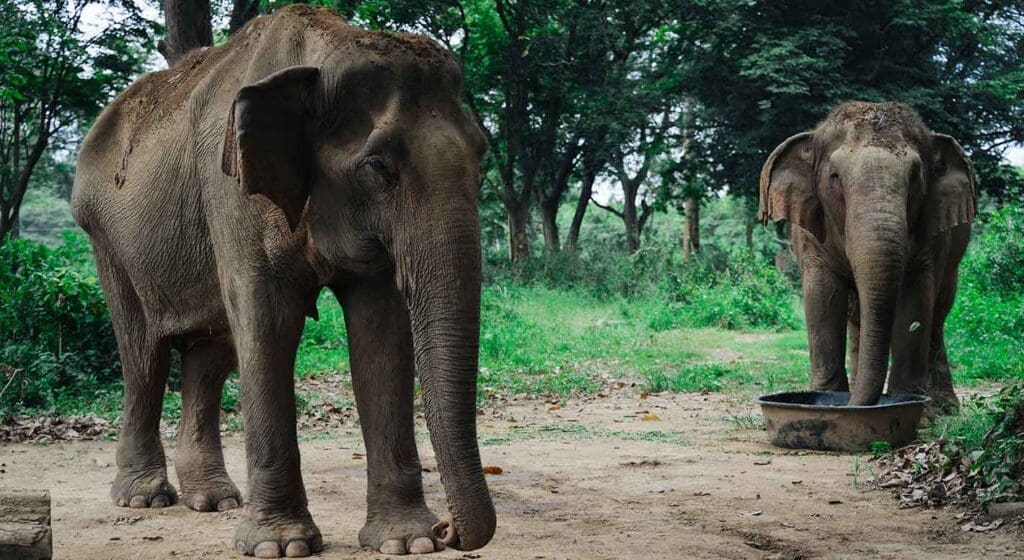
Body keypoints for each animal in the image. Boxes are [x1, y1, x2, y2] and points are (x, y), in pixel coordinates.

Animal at [71, 5, 494, 558]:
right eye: (378, 168)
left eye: (483, 160)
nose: (449, 530)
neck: (327, 47)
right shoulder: (231, 188)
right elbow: (269, 321)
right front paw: (282, 546)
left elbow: (381, 330)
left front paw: (408, 541)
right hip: (108, 242)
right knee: (144, 355)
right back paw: (144, 498)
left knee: (210, 353)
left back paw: (214, 501)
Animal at [759, 101, 975, 411]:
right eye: (835, 177)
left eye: (915, 177)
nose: (850, 408)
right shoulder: (811, 233)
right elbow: (822, 299)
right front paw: (826, 396)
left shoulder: (930, 231)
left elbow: (915, 300)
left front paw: (915, 406)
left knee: (938, 315)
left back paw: (944, 408)